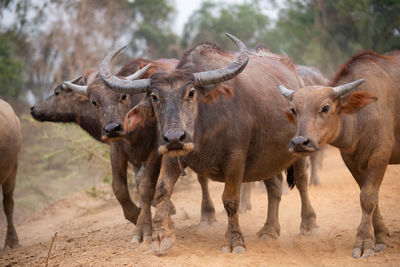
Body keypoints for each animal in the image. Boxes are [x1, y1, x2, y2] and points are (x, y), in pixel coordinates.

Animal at [101, 34, 318, 254]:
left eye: (191, 93)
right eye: (154, 97)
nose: (174, 137)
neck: (205, 126)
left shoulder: (236, 157)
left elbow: (230, 200)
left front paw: (234, 241)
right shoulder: (172, 155)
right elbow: (162, 189)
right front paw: (162, 236)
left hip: (297, 149)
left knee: (301, 181)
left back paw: (308, 224)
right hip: (266, 158)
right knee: (274, 187)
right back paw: (269, 230)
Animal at [278, 50, 400, 260]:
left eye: (326, 107)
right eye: (294, 110)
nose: (300, 142)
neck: (362, 117)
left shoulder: (380, 156)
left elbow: (368, 197)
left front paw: (364, 241)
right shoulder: (351, 160)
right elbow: (369, 196)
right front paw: (381, 235)